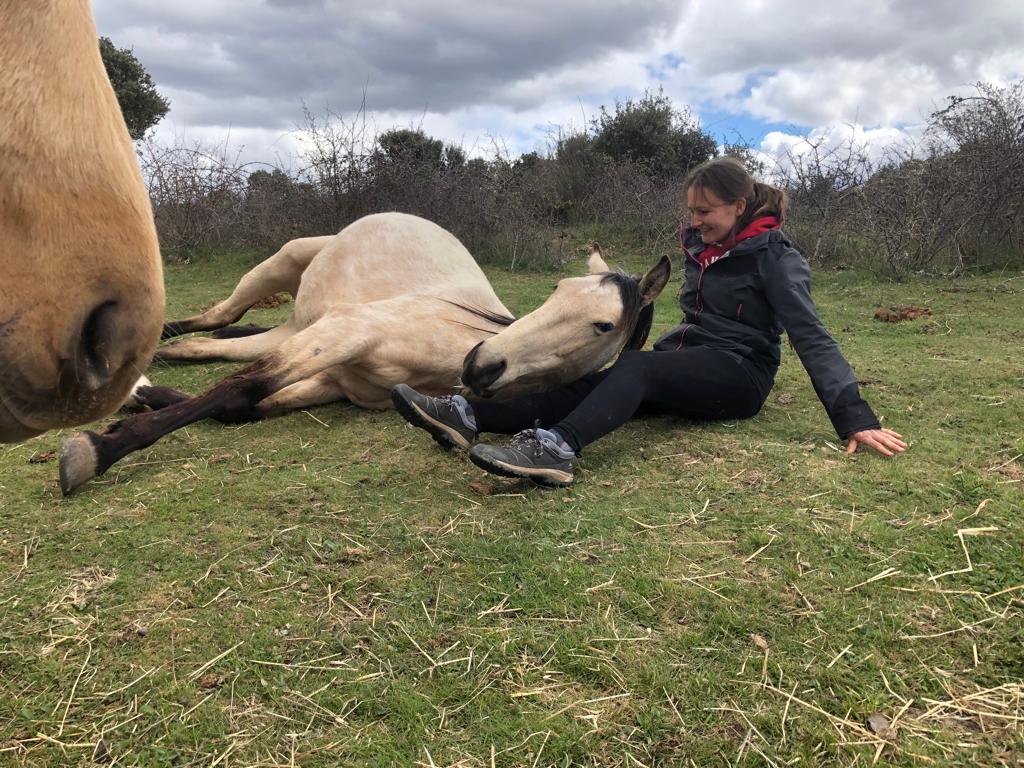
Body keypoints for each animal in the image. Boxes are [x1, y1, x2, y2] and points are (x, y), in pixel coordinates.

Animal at [58, 212, 670, 494]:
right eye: (557, 288)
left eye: (602, 323)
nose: (482, 363)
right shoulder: (347, 333)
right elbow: (243, 388)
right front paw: (98, 449)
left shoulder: (334, 379)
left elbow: (242, 404)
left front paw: (140, 407)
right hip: (281, 269)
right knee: (216, 319)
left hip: (295, 326)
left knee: (210, 343)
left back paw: (146, 374)